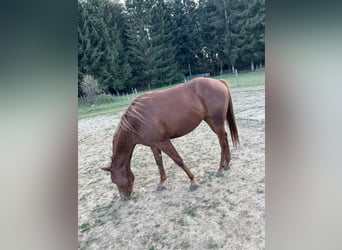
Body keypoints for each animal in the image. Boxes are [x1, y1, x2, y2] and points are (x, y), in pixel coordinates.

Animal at [101, 77, 240, 200]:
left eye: (115, 180)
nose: (123, 198)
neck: (137, 121)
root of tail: (219, 82)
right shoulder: (153, 144)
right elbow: (159, 162)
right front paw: (162, 183)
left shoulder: (163, 142)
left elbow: (178, 160)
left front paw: (193, 182)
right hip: (210, 121)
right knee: (224, 137)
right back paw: (227, 164)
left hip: (216, 121)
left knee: (222, 142)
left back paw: (220, 169)